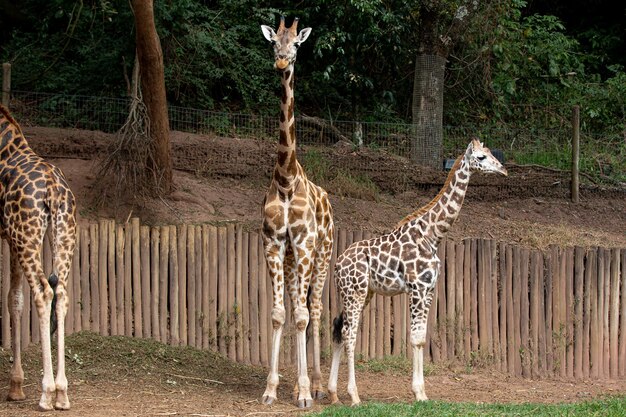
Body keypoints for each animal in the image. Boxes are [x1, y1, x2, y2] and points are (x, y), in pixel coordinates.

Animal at [326, 139, 508, 404]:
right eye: (481, 157)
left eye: (492, 153)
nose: (503, 170)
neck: (433, 235)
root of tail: (338, 265)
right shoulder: (417, 289)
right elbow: (414, 338)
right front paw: (418, 393)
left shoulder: (429, 289)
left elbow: (421, 338)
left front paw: (422, 392)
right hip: (355, 292)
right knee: (350, 333)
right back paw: (354, 396)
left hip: (362, 293)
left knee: (339, 327)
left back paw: (332, 394)